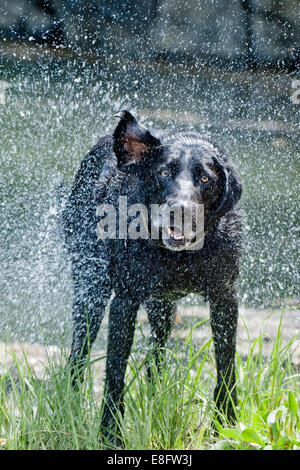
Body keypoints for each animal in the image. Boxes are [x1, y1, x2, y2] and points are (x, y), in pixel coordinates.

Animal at [62, 111, 243, 444]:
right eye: (164, 171)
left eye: (206, 178)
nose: (179, 211)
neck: (180, 257)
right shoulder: (125, 300)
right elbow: (115, 374)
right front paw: (110, 434)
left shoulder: (225, 297)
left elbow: (226, 366)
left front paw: (226, 424)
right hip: (90, 291)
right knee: (77, 357)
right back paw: (69, 405)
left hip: (163, 307)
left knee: (155, 359)